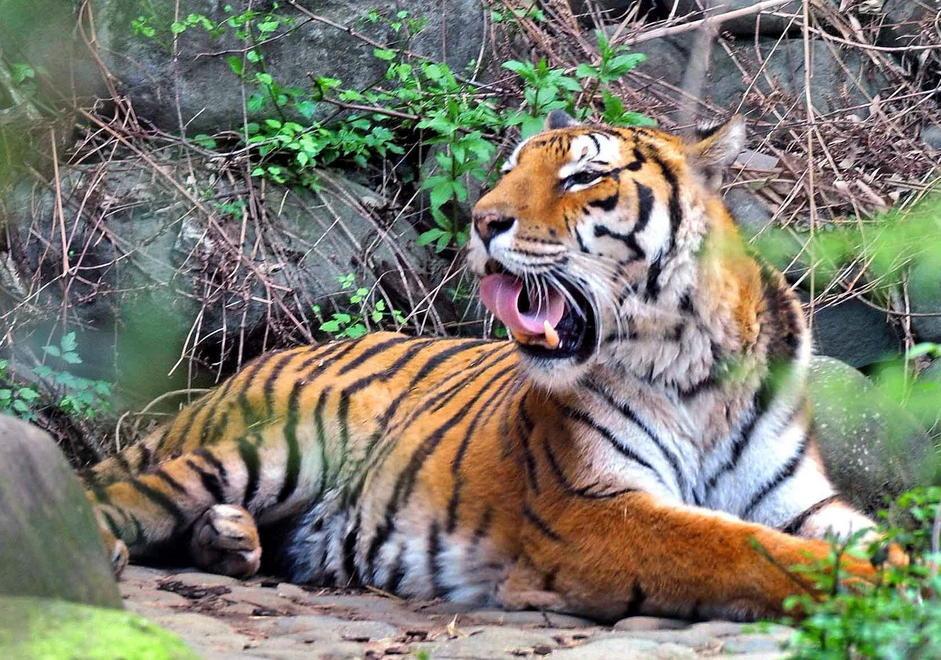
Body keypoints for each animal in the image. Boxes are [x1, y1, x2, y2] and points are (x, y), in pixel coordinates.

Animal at [83, 111, 887, 622]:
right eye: (509, 171)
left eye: (580, 177)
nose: (481, 221)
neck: (693, 367)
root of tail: (265, 360)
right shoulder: (595, 508)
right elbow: (741, 547)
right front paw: (881, 586)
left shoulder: (802, 502)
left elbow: (845, 537)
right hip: (263, 450)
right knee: (120, 493)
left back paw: (231, 541)